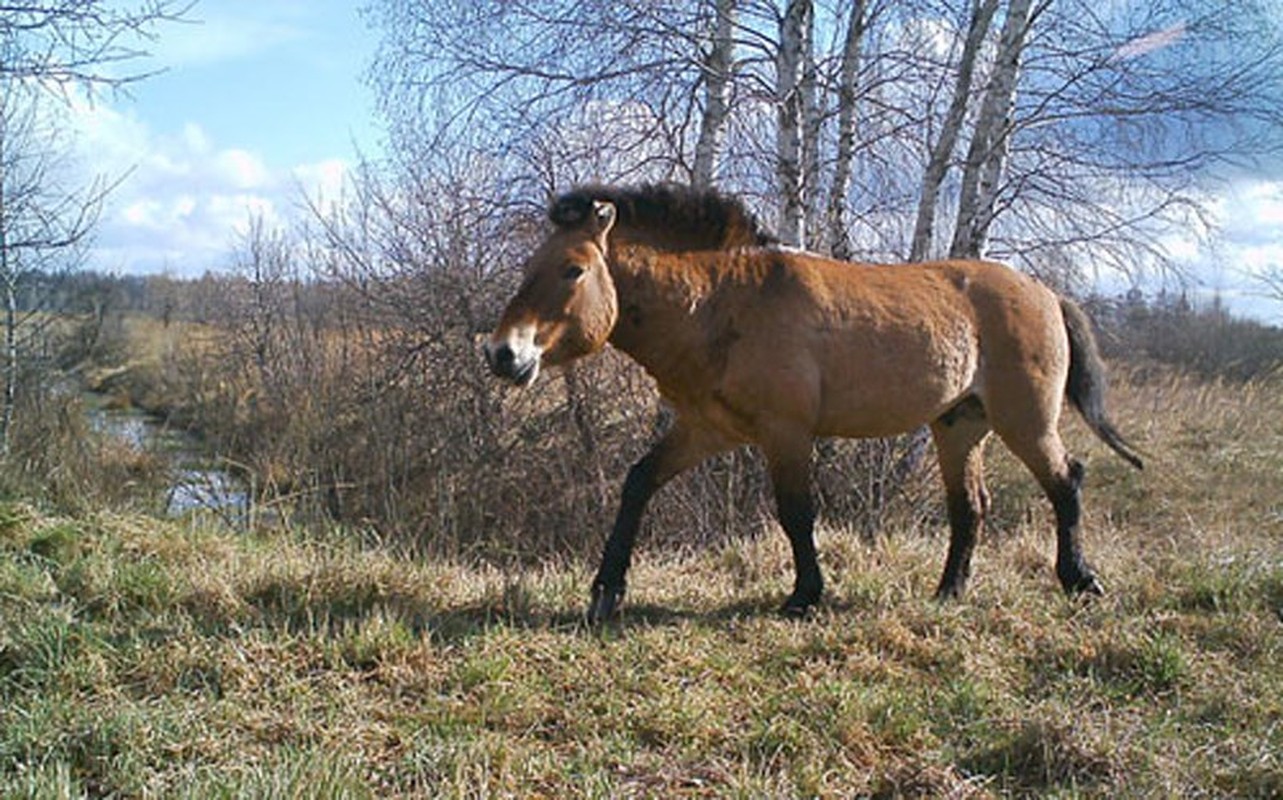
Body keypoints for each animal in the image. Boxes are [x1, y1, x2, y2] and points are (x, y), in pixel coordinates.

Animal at [482, 184, 1144, 623]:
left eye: (573, 270)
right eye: (531, 265)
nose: (504, 354)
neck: (724, 300)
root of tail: (1046, 292)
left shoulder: (787, 433)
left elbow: (796, 513)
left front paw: (805, 595)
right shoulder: (707, 429)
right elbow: (639, 483)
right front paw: (605, 591)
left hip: (1024, 420)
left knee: (1066, 481)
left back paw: (1079, 579)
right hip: (959, 426)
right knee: (971, 507)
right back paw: (949, 592)